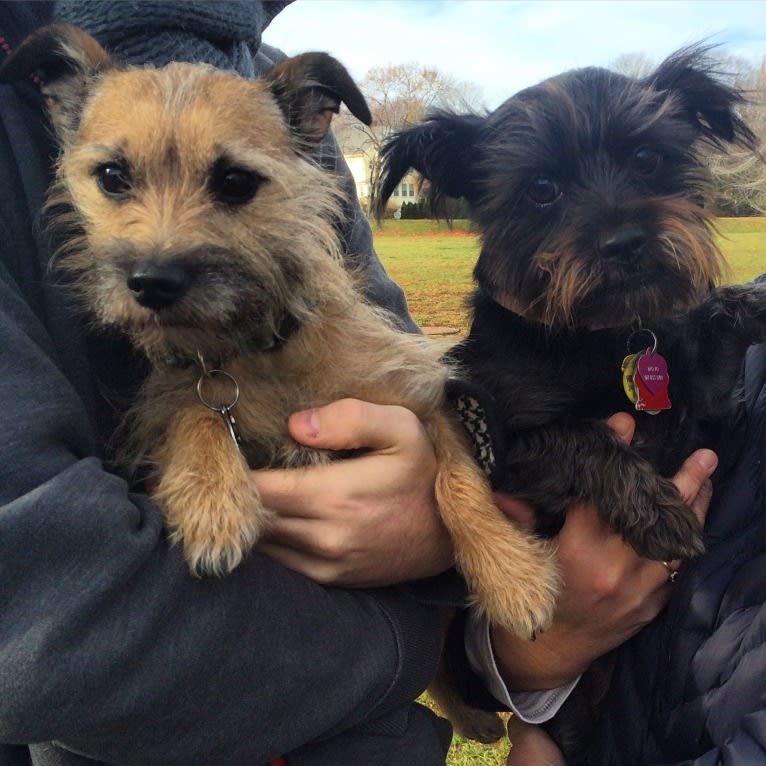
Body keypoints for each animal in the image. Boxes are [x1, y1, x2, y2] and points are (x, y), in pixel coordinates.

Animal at [1, 22, 564, 656]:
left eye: (235, 181)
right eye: (112, 177)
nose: (151, 283)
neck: (257, 350)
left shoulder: (425, 403)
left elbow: (458, 481)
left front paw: (512, 575)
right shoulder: (169, 413)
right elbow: (194, 410)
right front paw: (212, 498)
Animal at [376, 48, 766, 760]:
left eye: (646, 158)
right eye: (541, 190)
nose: (626, 241)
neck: (602, 336)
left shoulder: (705, 419)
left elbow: (715, 336)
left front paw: (752, 302)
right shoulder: (508, 455)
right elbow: (585, 437)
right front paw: (655, 510)